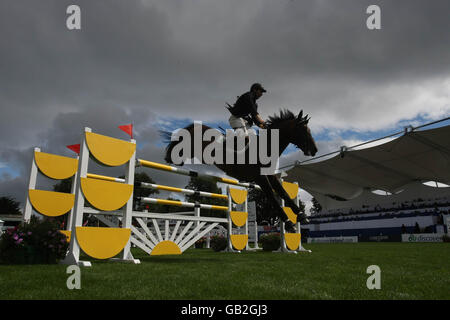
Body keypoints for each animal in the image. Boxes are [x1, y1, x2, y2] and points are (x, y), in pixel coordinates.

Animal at [163, 110, 318, 228]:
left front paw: (302, 216)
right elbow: (273, 198)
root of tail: (197, 126)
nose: (315, 150)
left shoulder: (270, 177)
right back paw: (170, 157)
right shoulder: (260, 179)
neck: (266, 148)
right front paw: (289, 224)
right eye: (303, 130)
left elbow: (284, 194)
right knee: (179, 144)